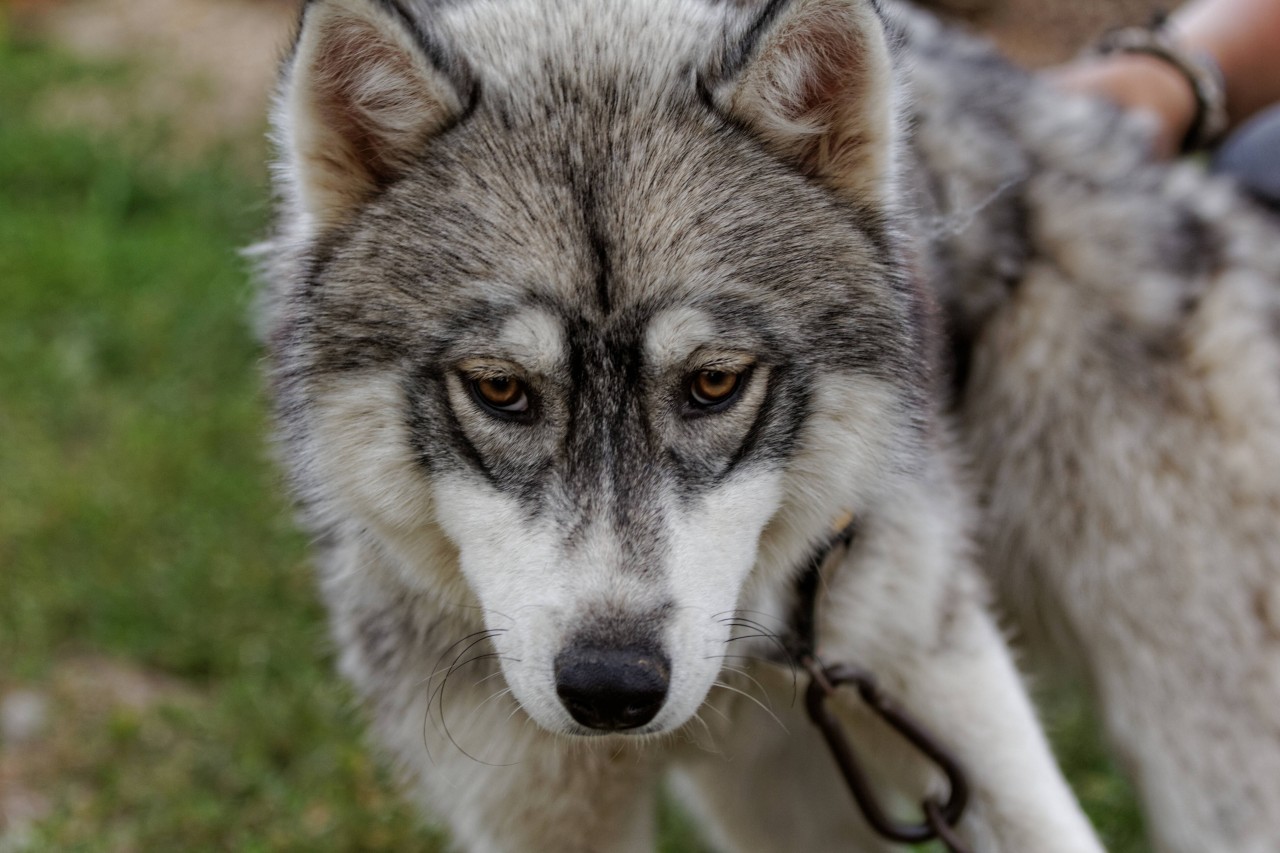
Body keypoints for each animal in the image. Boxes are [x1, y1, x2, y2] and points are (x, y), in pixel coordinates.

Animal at [257, 0, 1280, 845]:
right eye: (501, 388)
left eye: (713, 381)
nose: (613, 689)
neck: (755, 654)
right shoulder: (537, 809)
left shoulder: (945, 685)